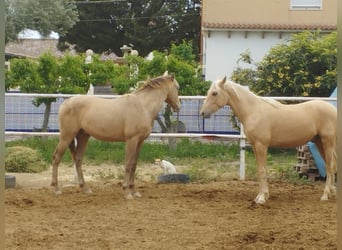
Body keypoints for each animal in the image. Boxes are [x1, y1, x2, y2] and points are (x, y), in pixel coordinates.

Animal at [52, 72, 180, 199]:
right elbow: (128, 164)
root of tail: (66, 103)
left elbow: (134, 165)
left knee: (78, 160)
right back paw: (56, 188)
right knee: (56, 158)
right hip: (66, 136)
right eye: (177, 87)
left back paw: (86, 189)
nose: (178, 106)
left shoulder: (140, 141)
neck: (143, 106)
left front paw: (134, 191)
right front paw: (127, 192)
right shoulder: (131, 140)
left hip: (82, 136)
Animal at [200, 77, 336, 204]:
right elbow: (260, 170)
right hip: (319, 142)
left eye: (215, 93)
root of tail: (334, 110)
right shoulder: (255, 146)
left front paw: (262, 198)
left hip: (327, 142)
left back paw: (325, 195)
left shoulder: (261, 146)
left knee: (330, 166)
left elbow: (262, 170)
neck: (253, 111)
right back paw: (332, 192)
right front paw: (260, 196)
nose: (202, 113)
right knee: (331, 165)